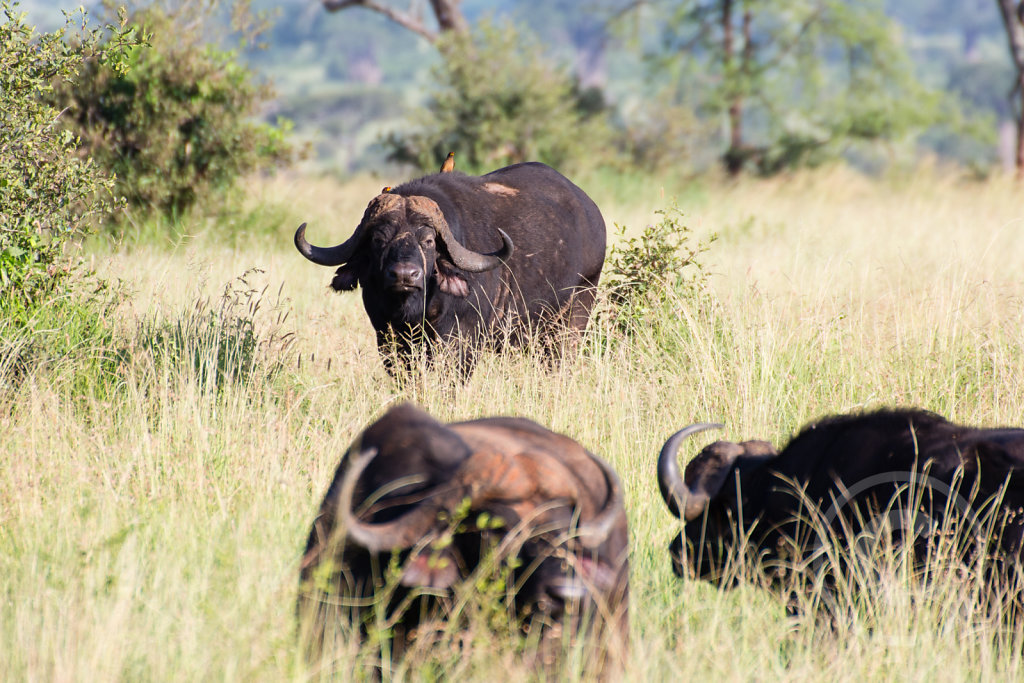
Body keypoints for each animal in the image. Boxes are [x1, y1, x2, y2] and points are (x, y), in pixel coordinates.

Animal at [292, 161, 602, 374]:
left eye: (428, 240)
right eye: (379, 239)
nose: (404, 275)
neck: (415, 308)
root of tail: (592, 213)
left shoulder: (462, 339)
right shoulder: (387, 337)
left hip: (575, 314)